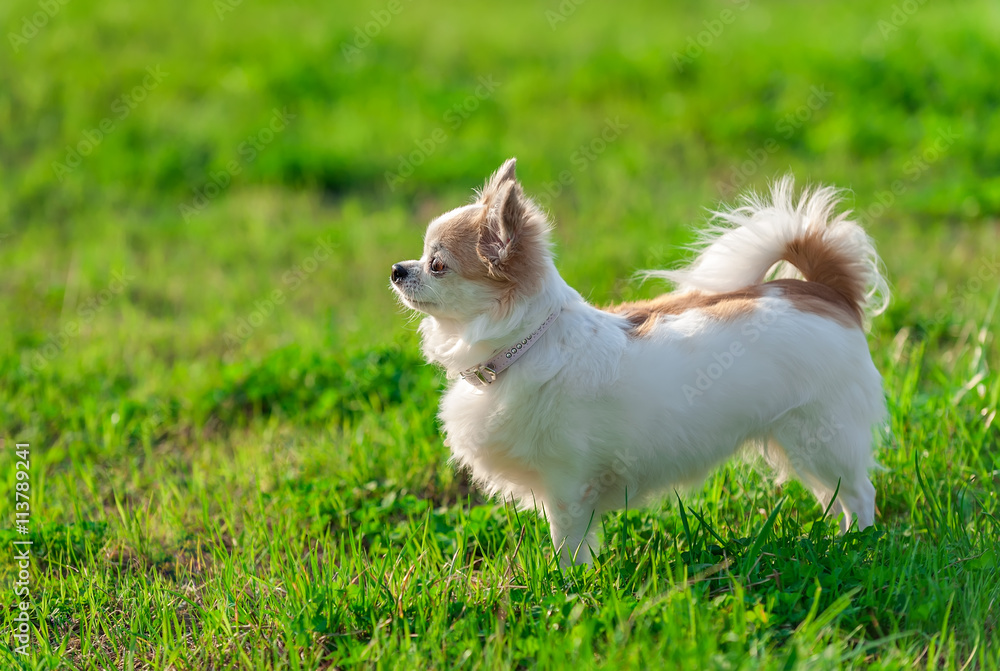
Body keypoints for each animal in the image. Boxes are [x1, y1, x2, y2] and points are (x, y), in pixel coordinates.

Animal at [392, 159, 892, 568]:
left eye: (437, 265)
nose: (397, 269)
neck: (524, 345)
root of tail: (827, 292)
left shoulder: (568, 487)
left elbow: (568, 546)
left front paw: (570, 586)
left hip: (821, 435)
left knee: (859, 492)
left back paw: (860, 546)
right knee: (838, 496)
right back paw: (839, 541)